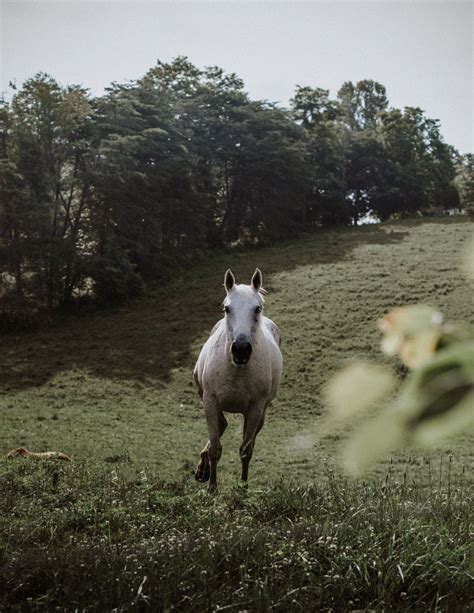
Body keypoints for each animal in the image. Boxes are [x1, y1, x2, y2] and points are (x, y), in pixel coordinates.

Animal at [192, 268, 282, 492]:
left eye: (257, 308)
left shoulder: (255, 408)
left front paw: (242, 487)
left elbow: (246, 450)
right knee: (221, 425)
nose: (241, 349)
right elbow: (215, 448)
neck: (236, 370)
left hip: (260, 412)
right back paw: (202, 470)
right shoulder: (210, 401)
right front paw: (212, 489)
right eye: (227, 308)